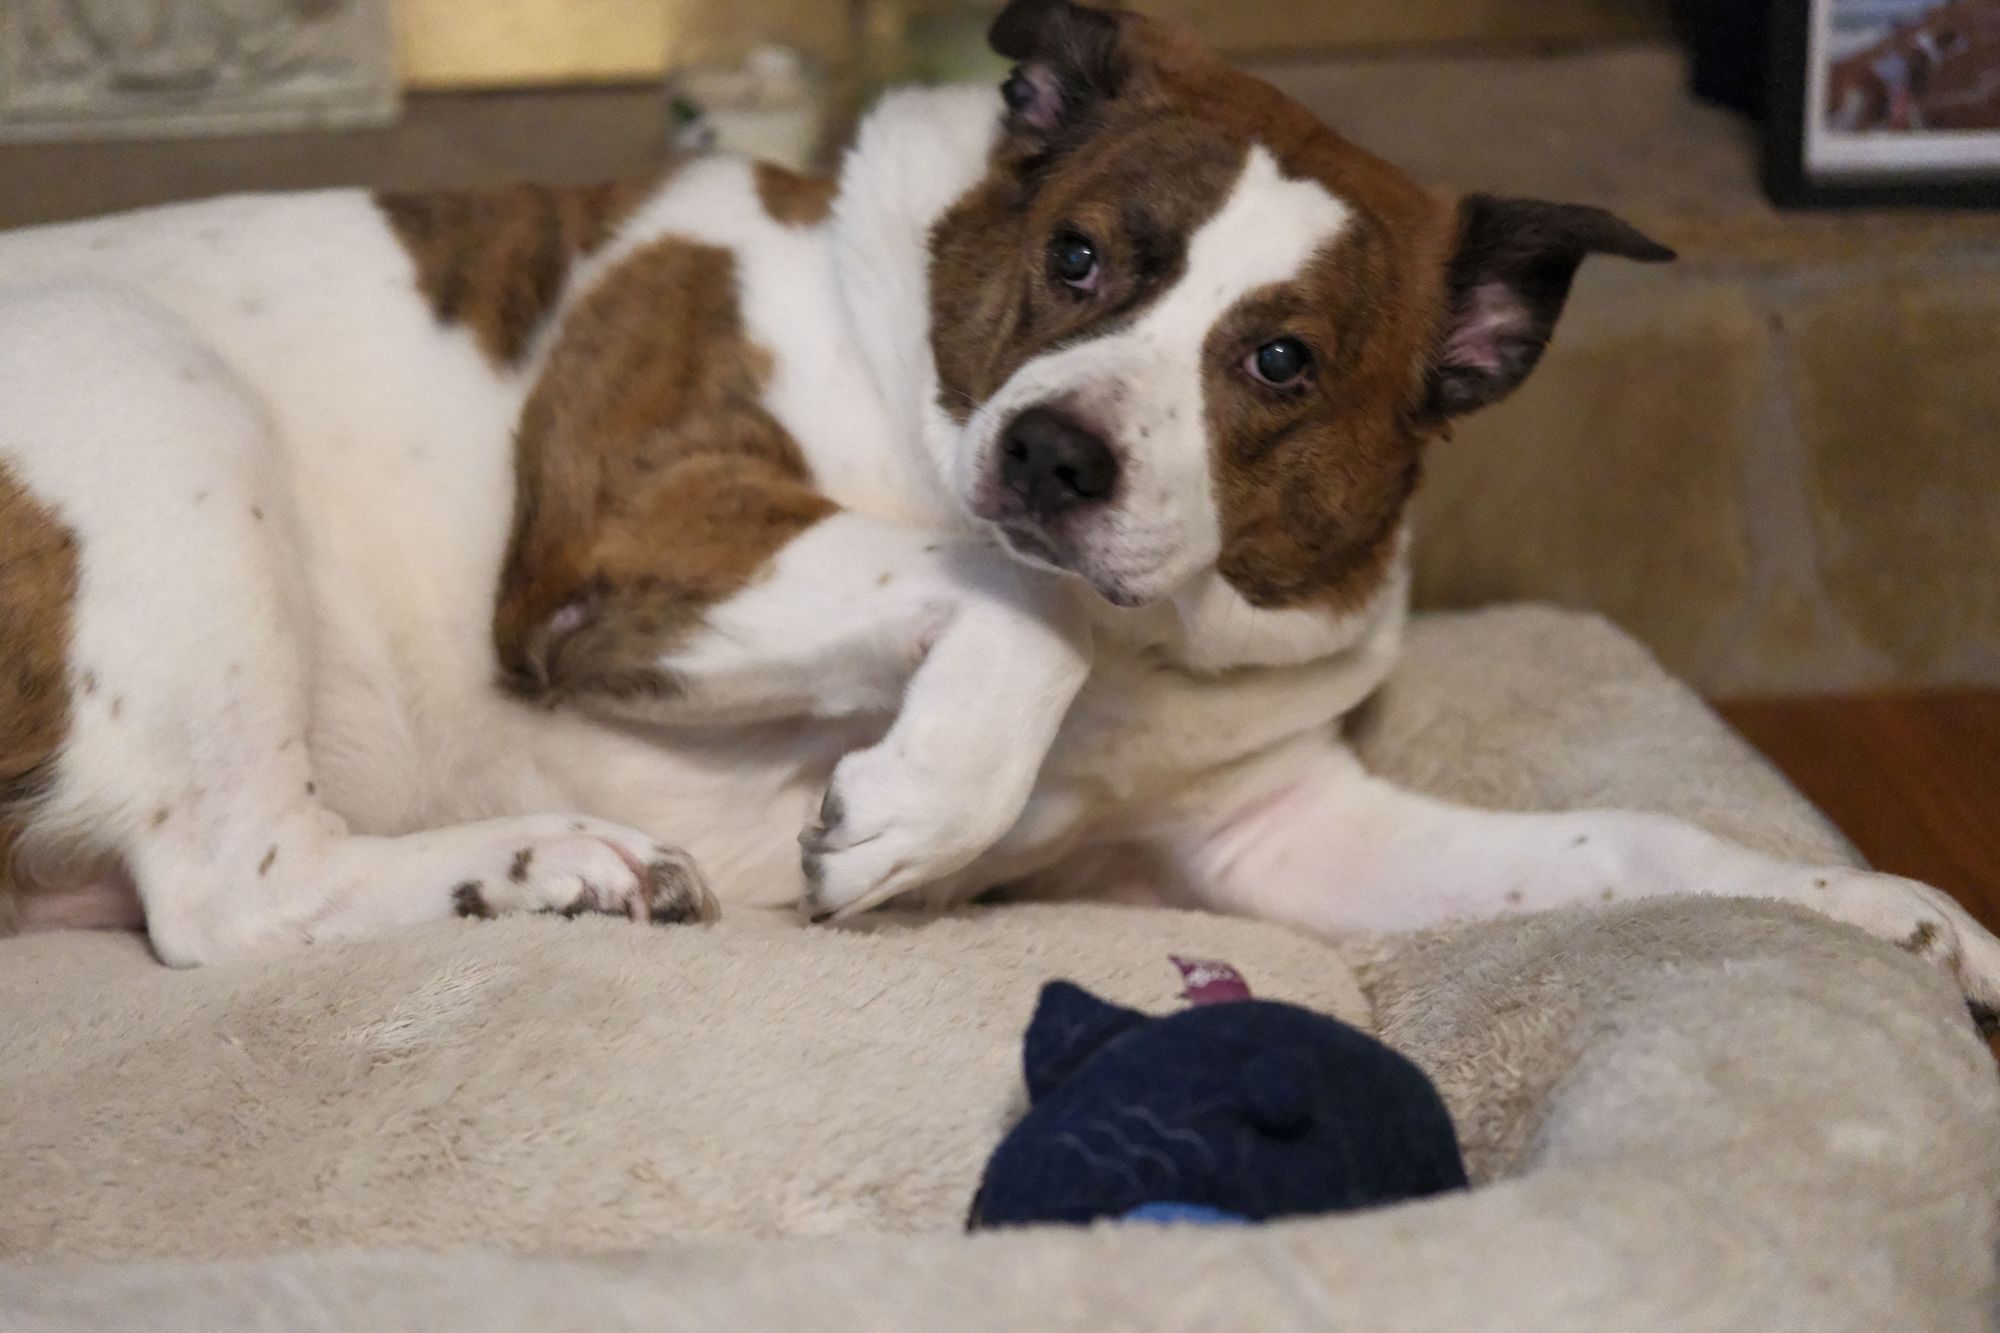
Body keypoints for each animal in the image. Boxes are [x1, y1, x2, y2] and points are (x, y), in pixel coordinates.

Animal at [3, 0, 2000, 1000]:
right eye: (1082, 257)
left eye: (1282, 360)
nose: (1053, 456)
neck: (1162, 638)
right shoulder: (630, 548)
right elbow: (1005, 592)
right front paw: (917, 811)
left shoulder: (1283, 835)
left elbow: (1634, 847)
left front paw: (1874, 908)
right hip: (169, 414)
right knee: (237, 893)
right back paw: (549, 867)